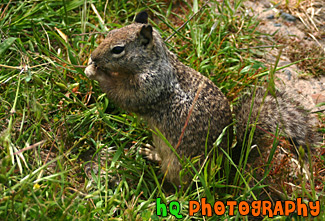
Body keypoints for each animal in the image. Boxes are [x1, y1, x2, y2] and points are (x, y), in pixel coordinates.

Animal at [84, 10, 318, 186]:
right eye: (110, 32)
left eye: (118, 49)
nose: (93, 56)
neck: (154, 63)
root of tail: (226, 162)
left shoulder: (149, 88)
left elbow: (124, 98)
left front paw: (94, 72)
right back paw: (150, 152)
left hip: (178, 164)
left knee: (181, 184)